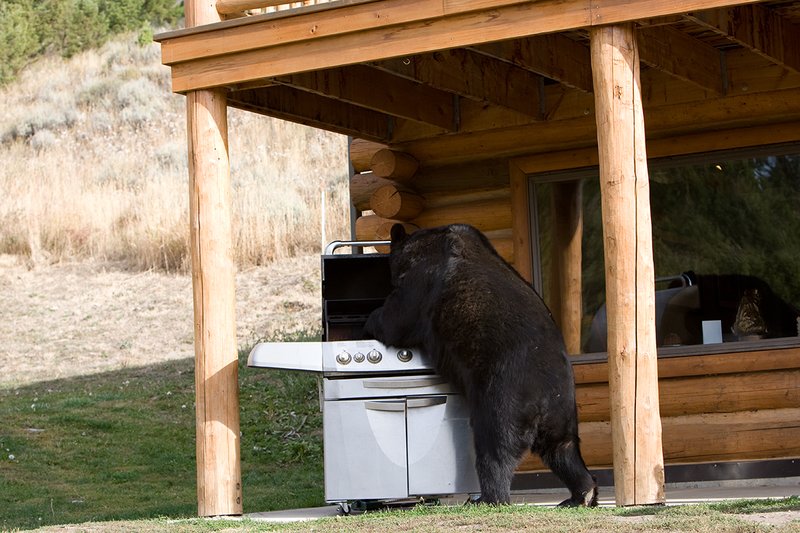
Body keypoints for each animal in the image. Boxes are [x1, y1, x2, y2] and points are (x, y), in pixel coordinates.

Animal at [363, 223, 597, 506]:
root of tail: (545, 398)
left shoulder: (422, 283)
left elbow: (398, 317)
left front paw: (370, 320)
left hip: (501, 395)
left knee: (495, 443)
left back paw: (487, 497)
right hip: (563, 411)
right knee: (562, 449)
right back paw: (581, 493)